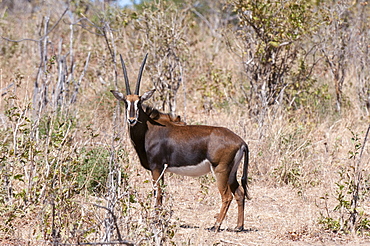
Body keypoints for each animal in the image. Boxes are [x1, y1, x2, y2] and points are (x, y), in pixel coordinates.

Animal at [110, 54, 249, 233]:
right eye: (126, 102)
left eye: (139, 102)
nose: (132, 120)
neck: (150, 129)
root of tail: (241, 141)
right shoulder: (161, 170)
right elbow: (160, 195)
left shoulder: (156, 168)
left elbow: (158, 195)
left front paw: (156, 222)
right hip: (231, 172)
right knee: (239, 193)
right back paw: (239, 226)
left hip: (221, 171)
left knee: (227, 196)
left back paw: (215, 226)